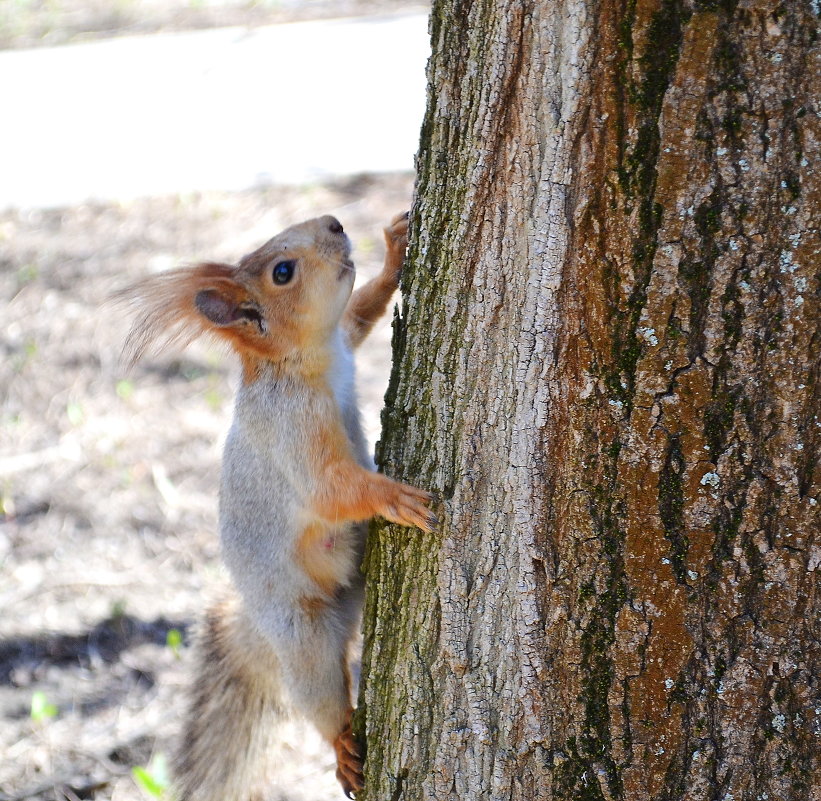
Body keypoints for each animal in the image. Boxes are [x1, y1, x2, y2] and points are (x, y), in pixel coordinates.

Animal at [121, 209, 436, 796]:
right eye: (283, 272)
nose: (334, 223)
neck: (303, 362)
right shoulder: (291, 430)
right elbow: (329, 489)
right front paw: (394, 496)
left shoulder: (344, 340)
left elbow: (361, 313)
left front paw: (395, 252)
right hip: (302, 636)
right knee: (319, 696)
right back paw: (343, 748)